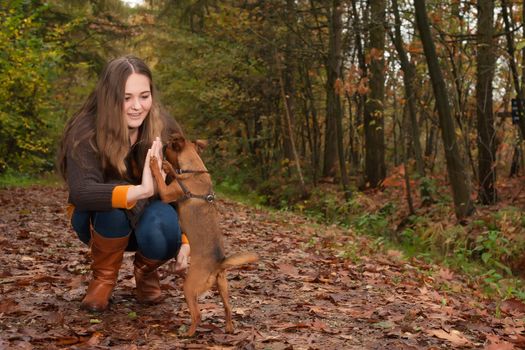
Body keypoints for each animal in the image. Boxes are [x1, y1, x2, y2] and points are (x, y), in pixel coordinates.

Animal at [149, 134, 258, 336]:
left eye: (168, 145)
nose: (163, 146)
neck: (195, 170)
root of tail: (218, 264)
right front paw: (168, 168)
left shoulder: (168, 193)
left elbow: (161, 179)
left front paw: (159, 165)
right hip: (223, 286)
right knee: (228, 308)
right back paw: (229, 328)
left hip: (189, 287)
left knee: (197, 315)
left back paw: (188, 334)